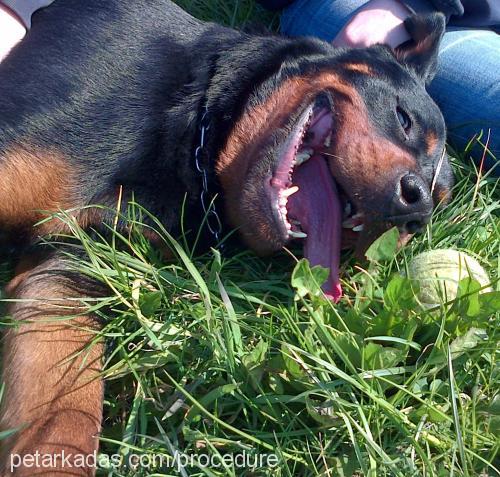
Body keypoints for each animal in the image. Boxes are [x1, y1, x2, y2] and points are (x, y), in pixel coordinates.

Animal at [0, 0, 454, 472]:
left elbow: (63, 426)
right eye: (403, 118)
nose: (415, 209)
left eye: (429, 215)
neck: (196, 115)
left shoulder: (66, 275)